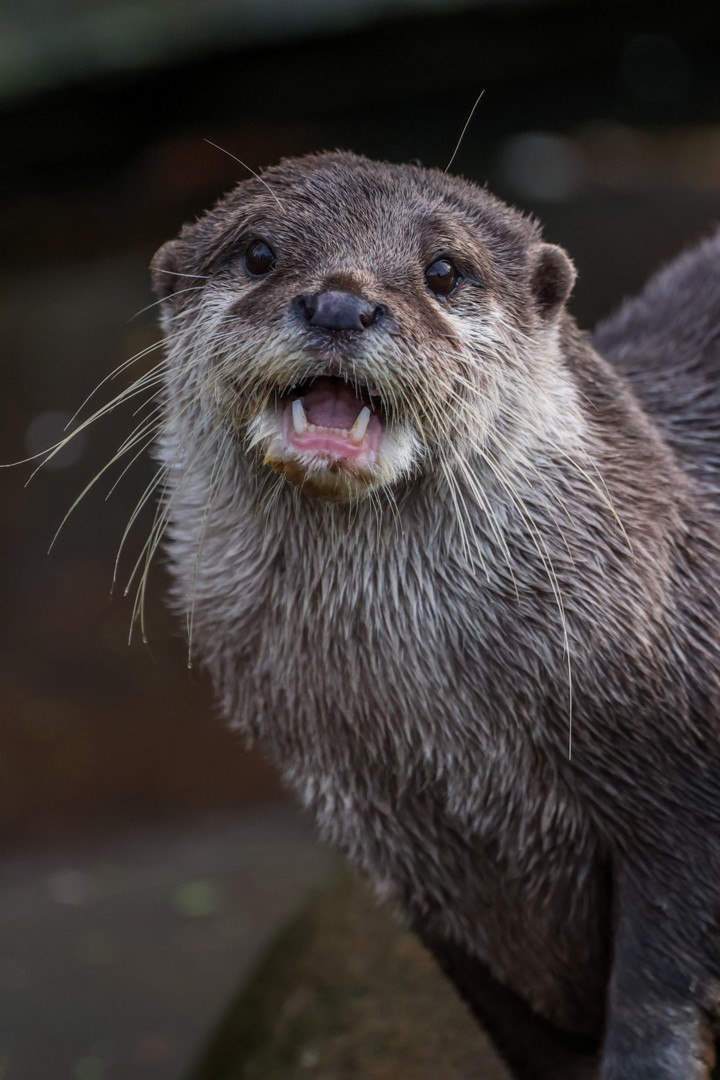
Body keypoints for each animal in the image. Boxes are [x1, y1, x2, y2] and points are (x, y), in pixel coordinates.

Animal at [149, 152, 720, 1079]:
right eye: (259, 253)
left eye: (445, 271)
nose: (339, 303)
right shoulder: (400, 854)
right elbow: (514, 1021)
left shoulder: (687, 774)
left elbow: (660, 982)